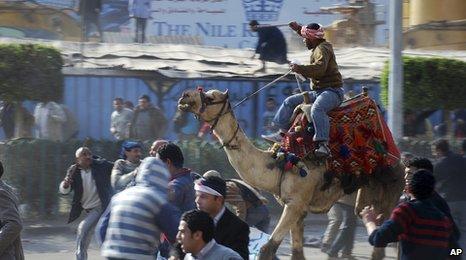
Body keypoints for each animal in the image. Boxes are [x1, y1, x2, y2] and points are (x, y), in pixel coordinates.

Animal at [178, 89, 404, 260]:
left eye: (210, 97)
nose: (184, 97)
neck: (279, 163)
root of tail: (399, 159)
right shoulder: (297, 208)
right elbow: (297, 253)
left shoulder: (295, 204)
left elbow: (267, 249)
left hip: (388, 193)